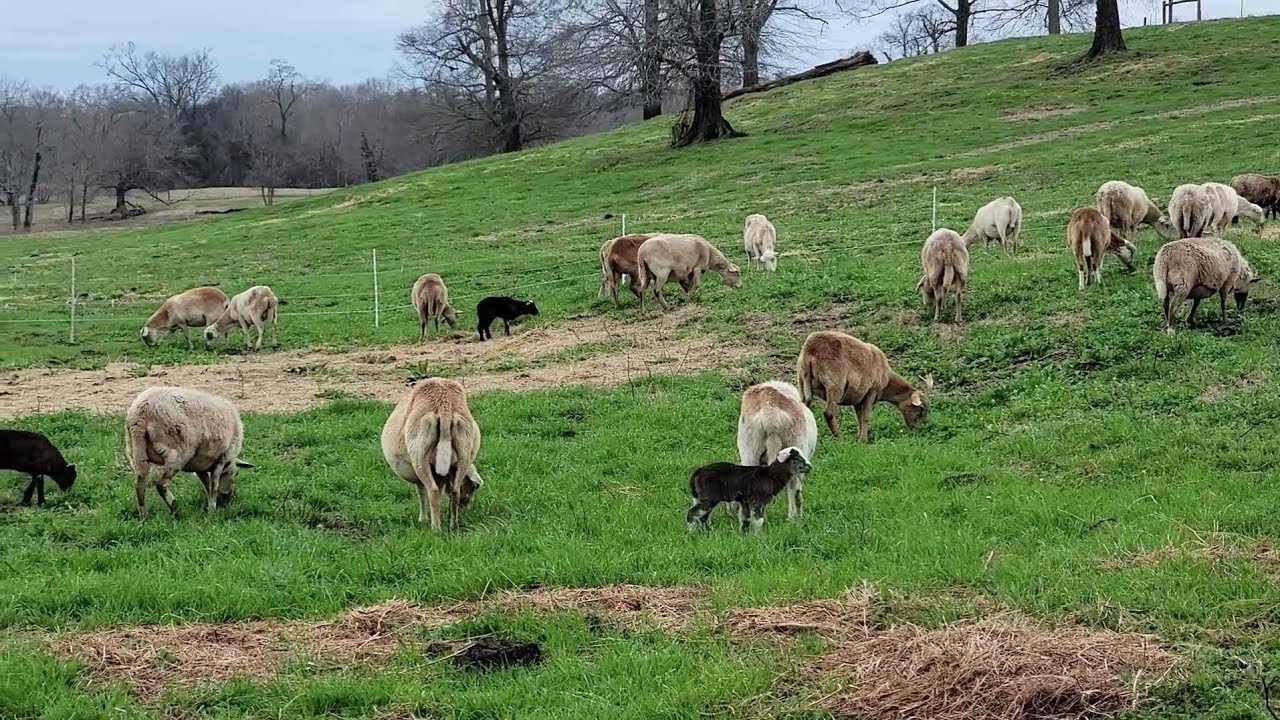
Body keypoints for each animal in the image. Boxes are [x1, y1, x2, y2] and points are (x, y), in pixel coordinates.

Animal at [125, 386, 255, 518]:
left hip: (136, 449)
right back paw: (176, 511)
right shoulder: (221, 460)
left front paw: (210, 506)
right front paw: (212, 511)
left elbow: (207, 485)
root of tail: (142, 414)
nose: (227, 499)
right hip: (177, 452)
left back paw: (143, 516)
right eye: (234, 476)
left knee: (140, 482)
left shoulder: (200, 465)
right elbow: (214, 486)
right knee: (161, 484)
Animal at [381, 377, 483, 531]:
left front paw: (423, 519)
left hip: (419, 456)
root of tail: (444, 406)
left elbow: (421, 492)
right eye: (473, 487)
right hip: (464, 452)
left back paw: (436, 529)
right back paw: (453, 526)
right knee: (455, 492)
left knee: (432, 491)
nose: (466, 507)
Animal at [797, 330, 932, 442]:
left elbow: (859, 417)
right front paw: (864, 440)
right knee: (828, 413)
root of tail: (810, 351)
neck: (887, 380)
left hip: (802, 381)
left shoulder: (858, 396)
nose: (921, 429)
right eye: (921, 409)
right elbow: (866, 417)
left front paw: (859, 437)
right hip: (834, 384)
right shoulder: (871, 391)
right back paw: (840, 438)